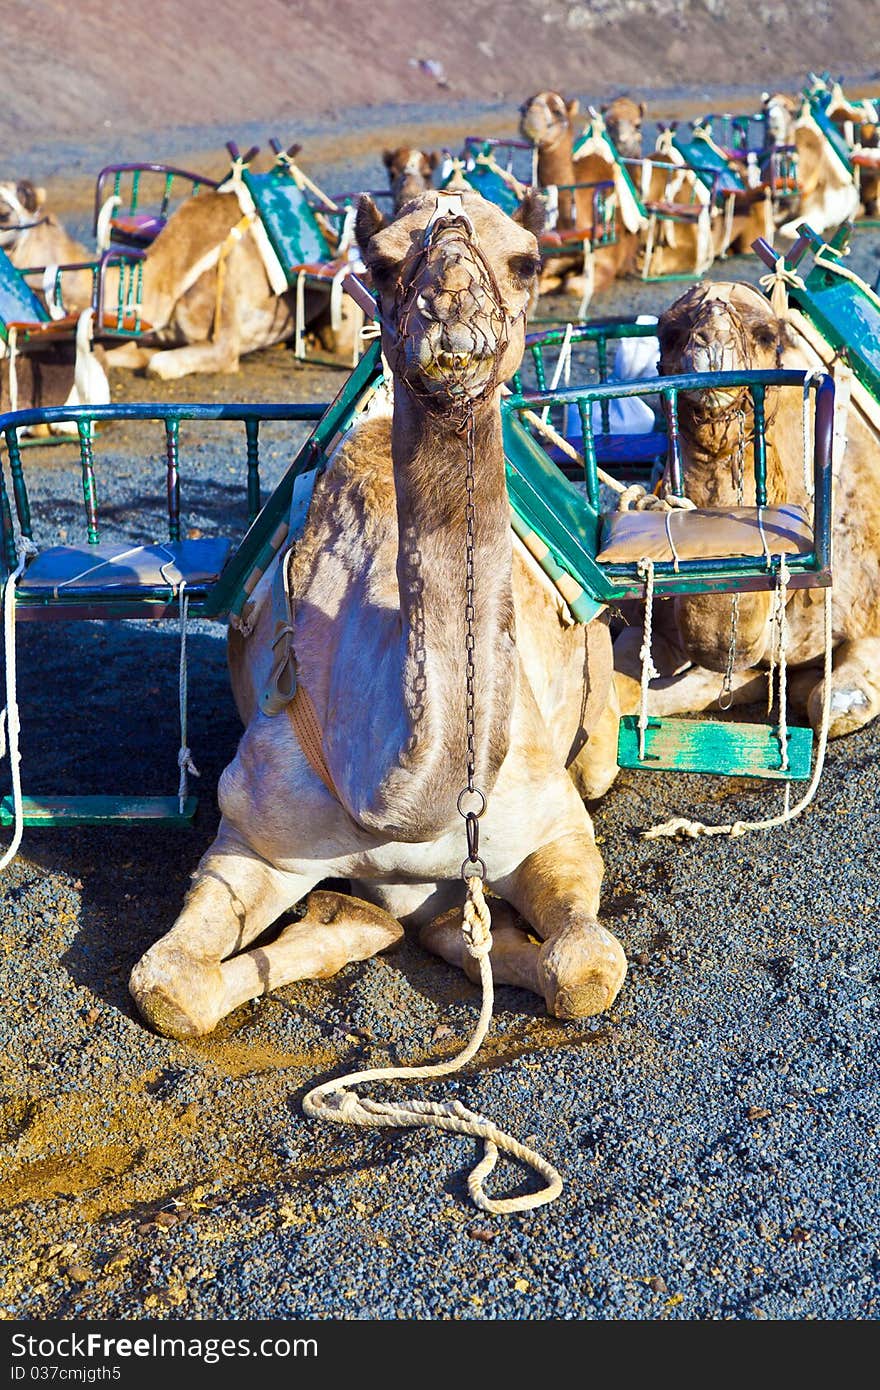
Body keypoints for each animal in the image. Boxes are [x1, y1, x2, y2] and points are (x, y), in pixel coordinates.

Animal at [128, 184, 625, 1039]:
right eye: (382, 261)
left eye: (527, 259)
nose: (451, 303)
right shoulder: (253, 836)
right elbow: (168, 985)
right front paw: (357, 918)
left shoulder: (555, 827)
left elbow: (585, 967)